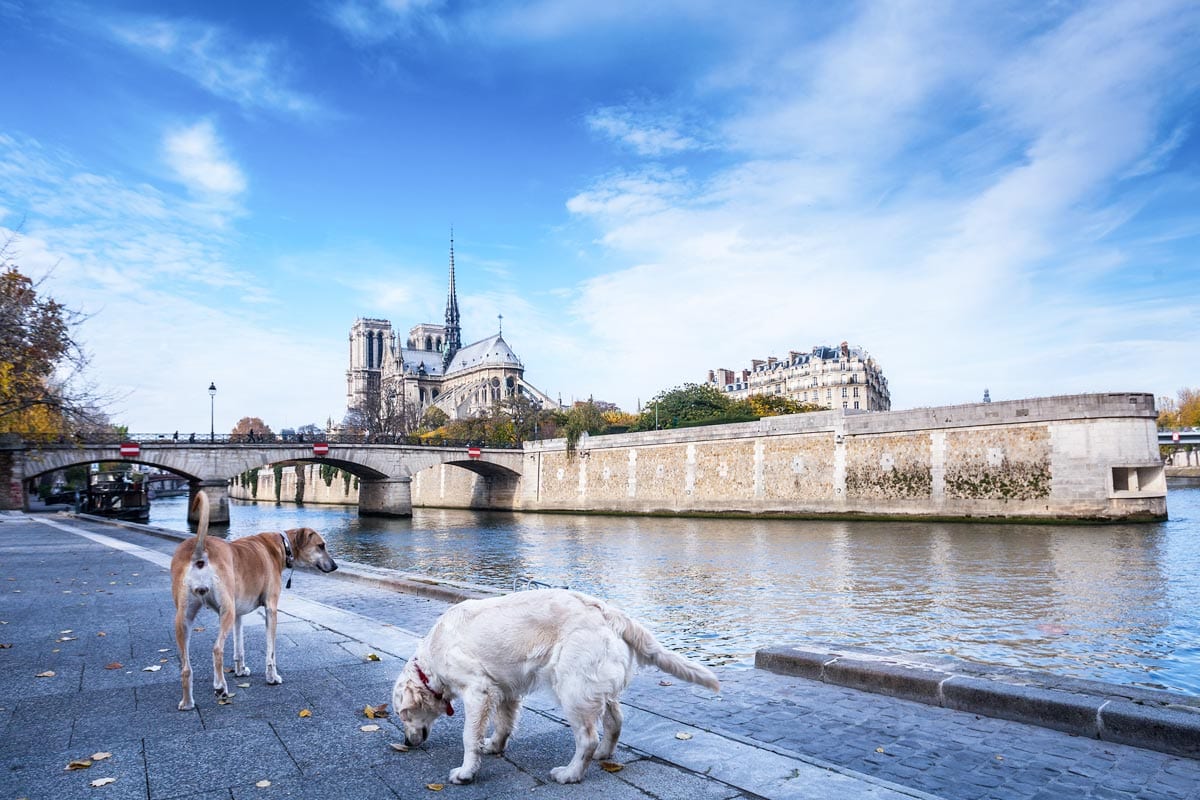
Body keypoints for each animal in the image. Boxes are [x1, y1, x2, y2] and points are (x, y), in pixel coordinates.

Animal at [169, 491, 340, 710]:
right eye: (321, 546)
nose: (335, 566)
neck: (281, 546)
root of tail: (199, 551)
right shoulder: (271, 609)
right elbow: (271, 652)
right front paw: (272, 677)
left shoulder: (238, 615)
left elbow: (239, 647)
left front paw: (241, 670)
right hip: (225, 612)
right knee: (217, 649)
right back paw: (220, 687)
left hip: (185, 619)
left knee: (185, 667)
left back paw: (188, 701)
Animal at [393, 592, 715, 786]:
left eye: (404, 714)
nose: (407, 742)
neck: (432, 657)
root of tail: (609, 612)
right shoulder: (505, 690)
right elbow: (504, 724)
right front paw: (494, 746)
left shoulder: (478, 690)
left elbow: (469, 736)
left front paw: (465, 772)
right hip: (596, 687)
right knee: (615, 721)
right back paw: (604, 755)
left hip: (572, 688)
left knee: (587, 739)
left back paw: (570, 774)